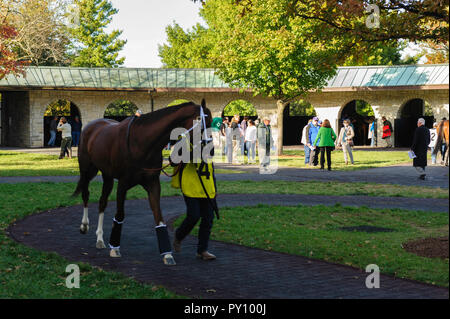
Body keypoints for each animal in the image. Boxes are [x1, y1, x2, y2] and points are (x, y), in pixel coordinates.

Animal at [72, 100, 213, 264]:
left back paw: (100, 239)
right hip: (87, 170)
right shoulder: (123, 184)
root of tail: (91, 126)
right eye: (202, 121)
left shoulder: (153, 184)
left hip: (107, 175)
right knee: (86, 194)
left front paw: (167, 254)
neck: (142, 142)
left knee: (102, 202)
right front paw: (115, 248)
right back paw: (84, 225)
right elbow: (120, 214)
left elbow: (159, 217)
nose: (210, 150)